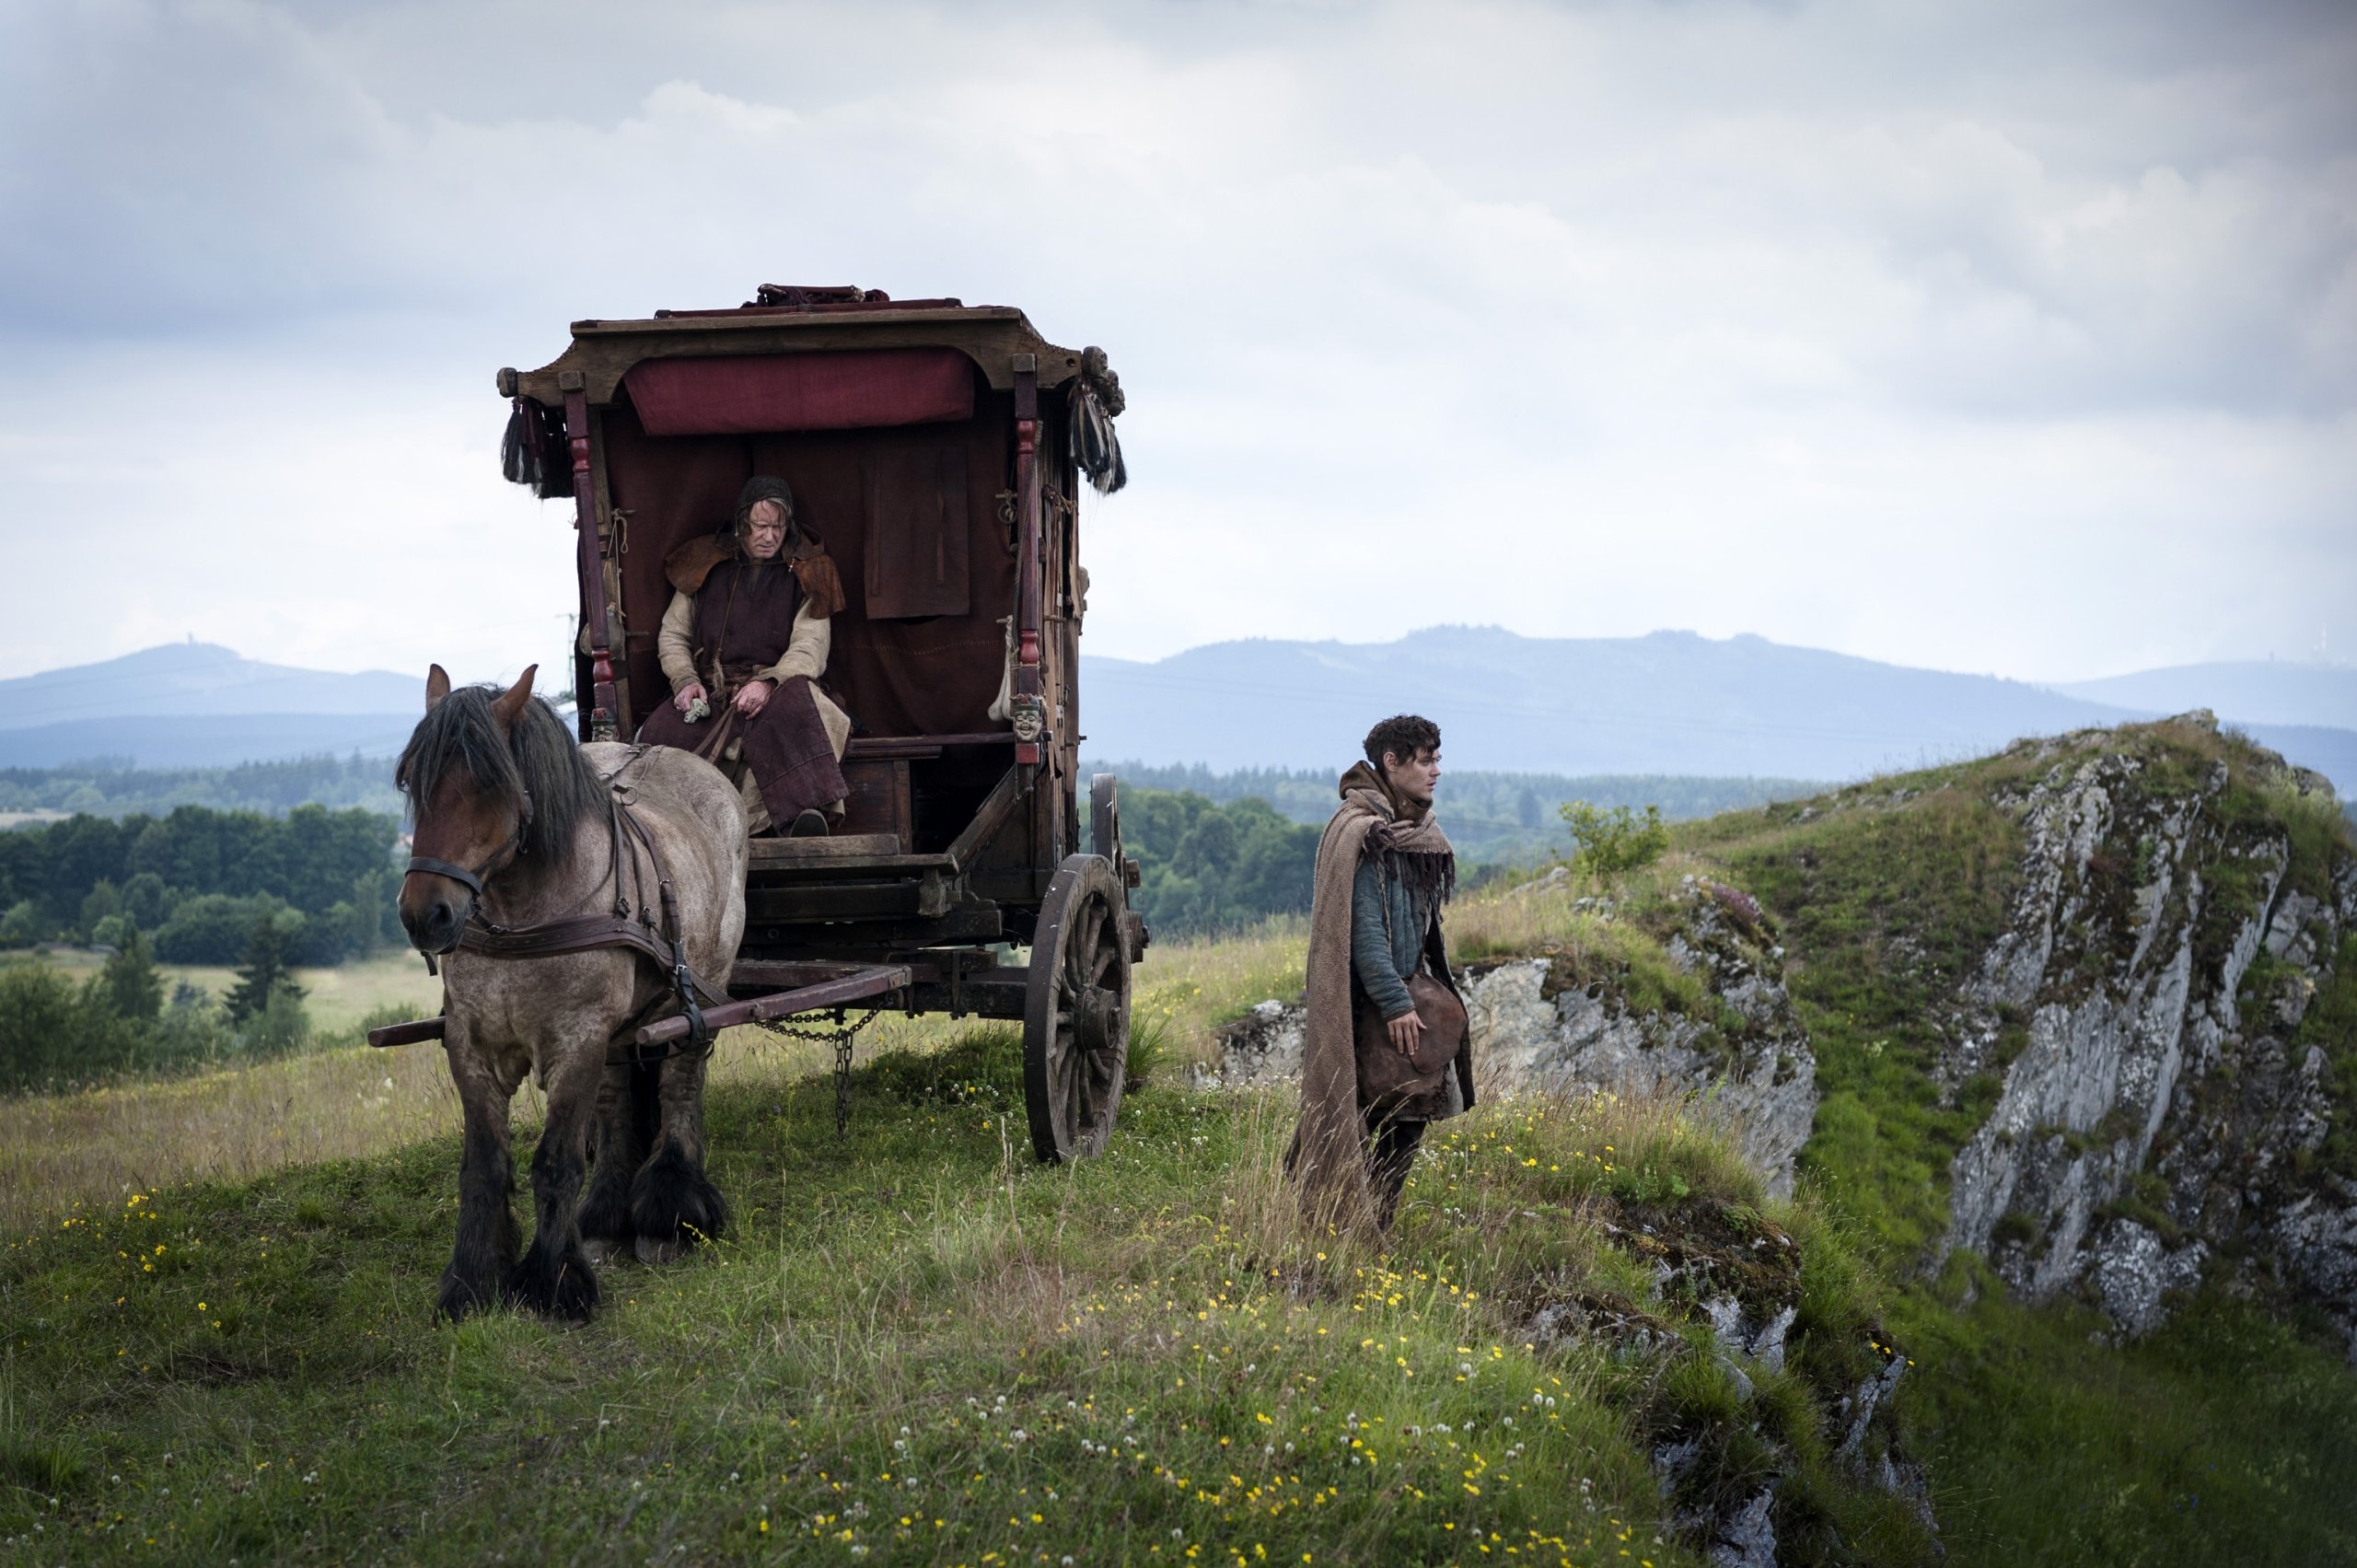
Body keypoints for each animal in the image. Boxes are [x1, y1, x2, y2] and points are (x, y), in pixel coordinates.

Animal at [396, 660, 744, 1320]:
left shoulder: (576, 1038)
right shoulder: (471, 1046)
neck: (523, 915)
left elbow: (554, 1163)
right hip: (621, 1026)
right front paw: (470, 1281)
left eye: (489, 785)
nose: (425, 914)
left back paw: (669, 1213)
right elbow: (483, 1166)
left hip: (699, 992)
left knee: (681, 1079)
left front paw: (556, 1282)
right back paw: (608, 1215)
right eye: (412, 784)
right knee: (616, 1095)